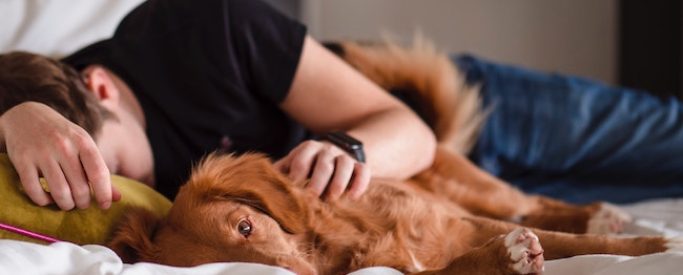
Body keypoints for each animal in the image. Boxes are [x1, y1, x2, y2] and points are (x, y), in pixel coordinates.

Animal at [107, 40, 683, 274]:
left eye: (246, 226)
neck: (343, 240)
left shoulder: (464, 221)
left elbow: (585, 243)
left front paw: (658, 245)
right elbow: (453, 269)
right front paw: (504, 259)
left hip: (479, 190)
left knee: (535, 201)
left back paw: (601, 212)